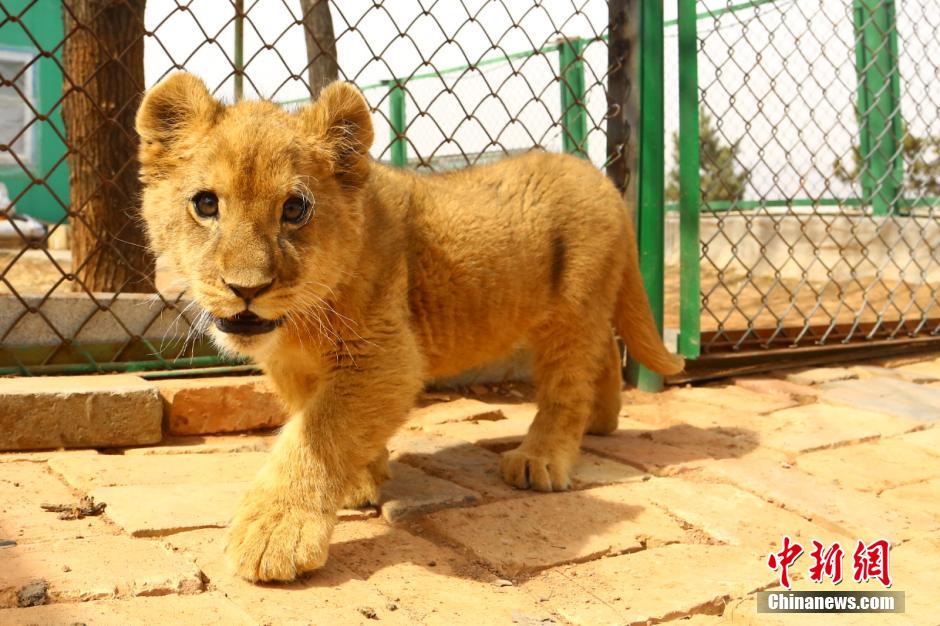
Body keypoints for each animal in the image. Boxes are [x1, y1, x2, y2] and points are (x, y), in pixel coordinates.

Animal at [135, 72, 684, 582]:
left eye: (295, 209)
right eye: (206, 204)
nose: (245, 288)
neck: (299, 321)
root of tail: (601, 179)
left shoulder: (387, 356)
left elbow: (316, 435)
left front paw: (274, 533)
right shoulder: (297, 367)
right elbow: (323, 420)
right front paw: (363, 478)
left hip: (572, 308)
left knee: (569, 383)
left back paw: (542, 458)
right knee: (604, 353)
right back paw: (601, 422)